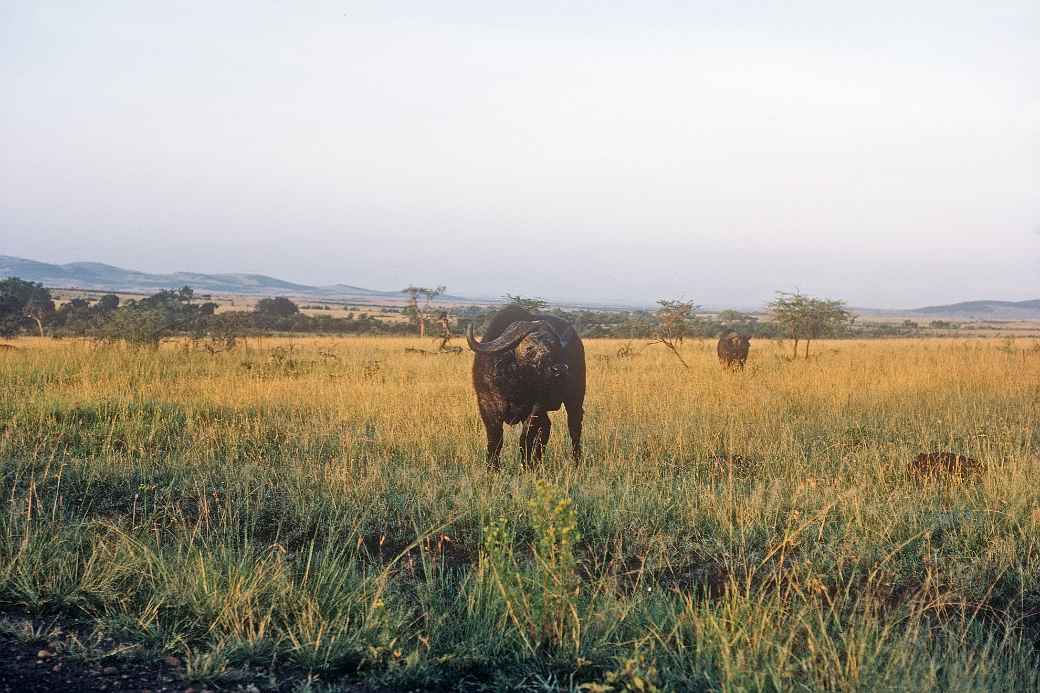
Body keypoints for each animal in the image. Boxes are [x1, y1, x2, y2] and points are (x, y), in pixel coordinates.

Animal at [470, 305, 586, 464]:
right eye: (529, 347)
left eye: (554, 346)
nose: (560, 369)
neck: (516, 385)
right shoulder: (487, 406)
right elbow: (495, 440)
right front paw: (492, 466)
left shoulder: (535, 408)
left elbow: (525, 439)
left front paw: (526, 464)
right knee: (547, 427)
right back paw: (539, 460)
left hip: (575, 398)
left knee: (574, 427)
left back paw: (576, 461)